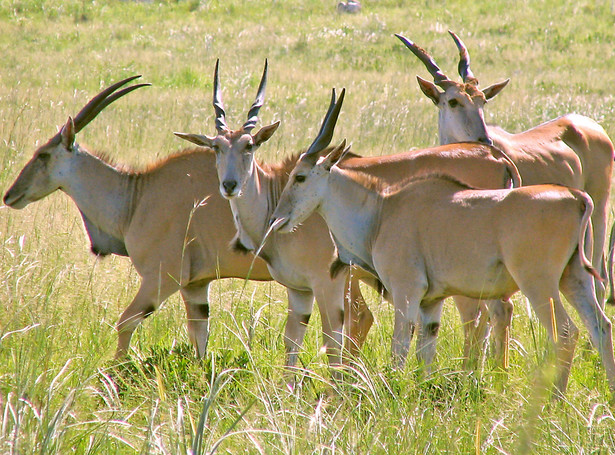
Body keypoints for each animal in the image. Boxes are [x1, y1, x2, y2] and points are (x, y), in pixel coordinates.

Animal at [174, 60, 528, 372]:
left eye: (249, 145)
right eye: (217, 147)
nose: (229, 185)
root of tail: (496, 155)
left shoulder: (330, 282)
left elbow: (335, 342)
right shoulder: (299, 291)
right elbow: (293, 343)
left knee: (483, 316)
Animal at [270, 91, 615, 398]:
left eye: (299, 177)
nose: (277, 219)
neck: (382, 209)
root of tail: (576, 198)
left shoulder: (406, 293)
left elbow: (399, 351)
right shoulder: (431, 304)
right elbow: (425, 355)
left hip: (538, 283)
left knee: (566, 332)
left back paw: (554, 400)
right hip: (574, 278)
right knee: (601, 326)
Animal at [398, 31, 615, 302]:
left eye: (482, 101)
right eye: (453, 101)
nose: (485, 140)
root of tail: (593, 126)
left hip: (599, 210)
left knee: (599, 278)